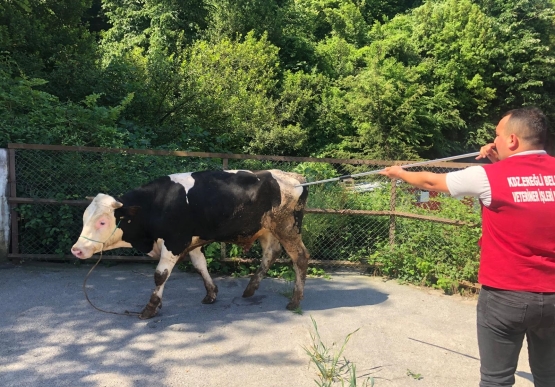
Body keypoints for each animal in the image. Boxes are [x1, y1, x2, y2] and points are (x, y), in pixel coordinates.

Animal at [71, 171, 310, 320]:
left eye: (102, 222)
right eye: (84, 218)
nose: (77, 249)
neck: (157, 205)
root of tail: (294, 177)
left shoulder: (176, 241)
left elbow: (160, 275)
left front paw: (151, 308)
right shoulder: (192, 242)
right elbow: (200, 266)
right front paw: (211, 294)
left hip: (288, 228)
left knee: (300, 257)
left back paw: (295, 301)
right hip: (267, 229)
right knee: (271, 253)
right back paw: (250, 289)